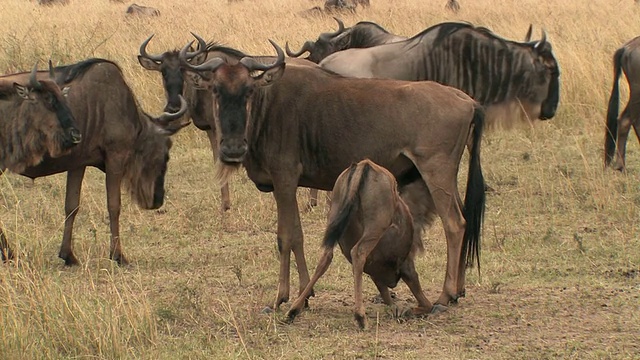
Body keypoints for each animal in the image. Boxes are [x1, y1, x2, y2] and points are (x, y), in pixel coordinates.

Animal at [288, 160, 444, 330]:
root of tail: (364, 165)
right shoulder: (406, 267)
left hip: (334, 217)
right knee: (358, 253)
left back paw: (294, 309)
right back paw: (360, 316)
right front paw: (407, 310)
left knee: (326, 256)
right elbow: (424, 301)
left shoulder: (379, 273)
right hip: (375, 227)